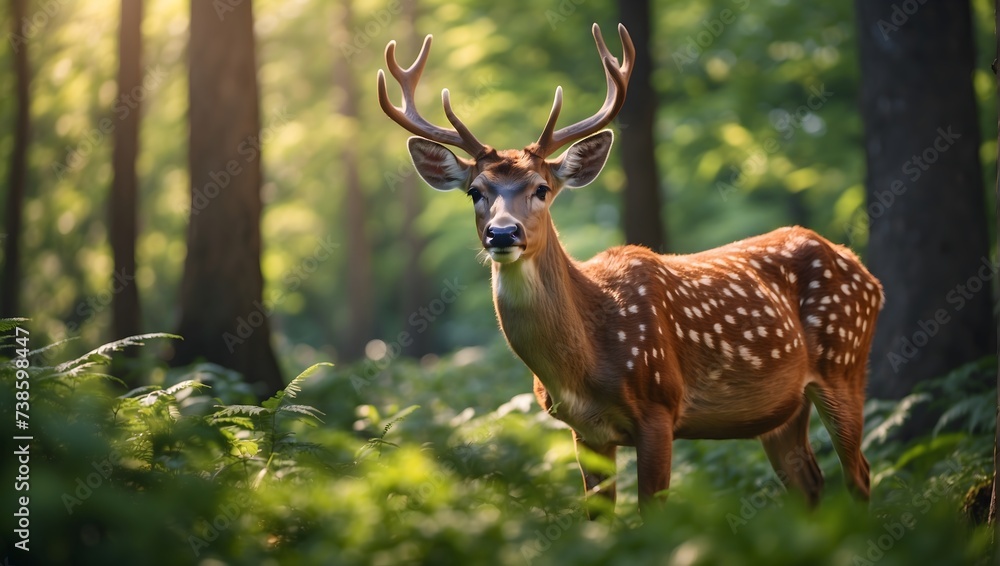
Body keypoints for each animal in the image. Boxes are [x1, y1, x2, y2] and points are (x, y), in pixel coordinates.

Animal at [377, 23, 883, 517]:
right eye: (475, 192)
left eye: (542, 188)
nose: (502, 234)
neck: (584, 361)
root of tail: (868, 275)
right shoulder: (585, 432)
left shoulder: (659, 405)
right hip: (780, 409)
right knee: (810, 484)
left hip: (844, 362)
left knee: (860, 475)